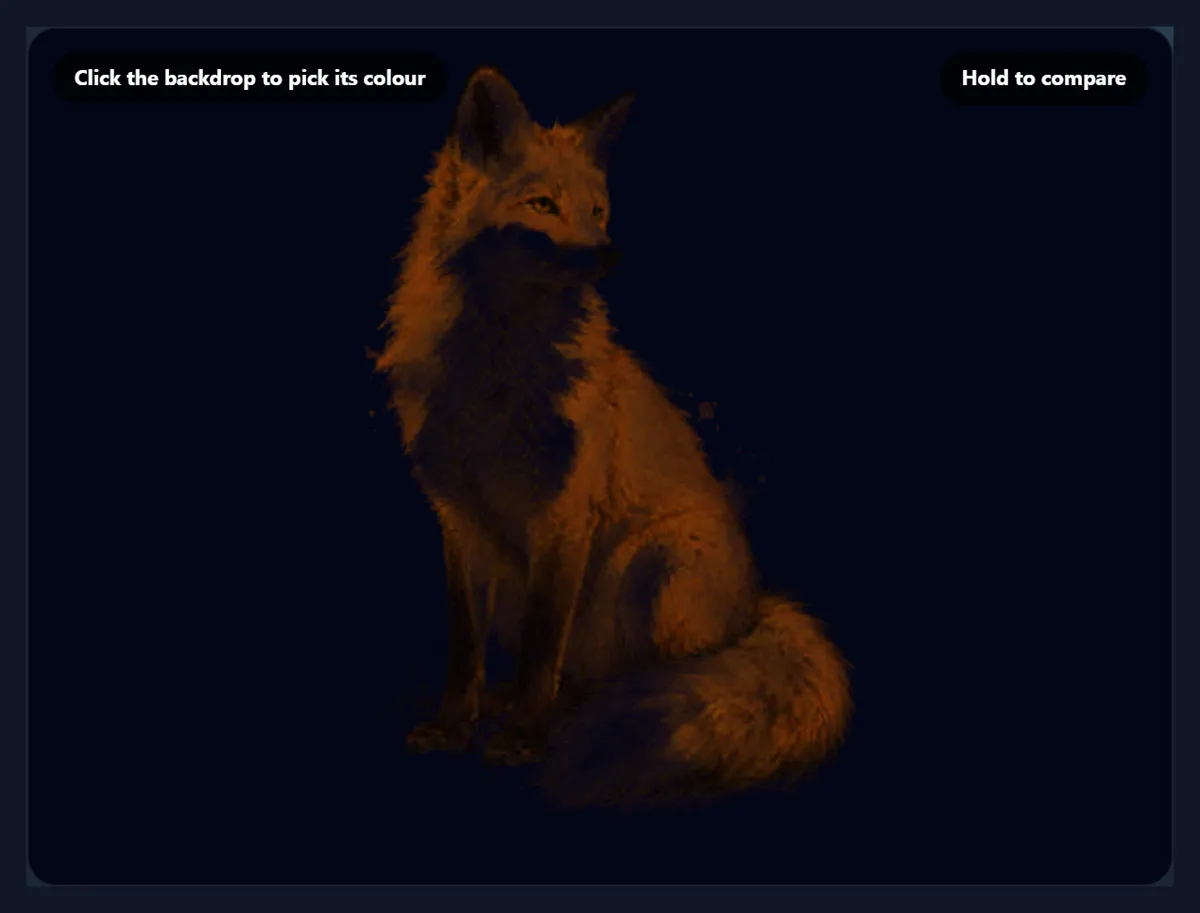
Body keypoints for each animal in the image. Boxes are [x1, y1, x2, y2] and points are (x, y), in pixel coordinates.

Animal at [376, 66, 852, 807]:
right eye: (543, 205)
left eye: (598, 211)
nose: (609, 252)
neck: (496, 368)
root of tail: (757, 605)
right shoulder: (459, 518)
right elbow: (465, 649)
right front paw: (456, 726)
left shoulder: (564, 513)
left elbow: (542, 646)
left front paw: (523, 738)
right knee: (577, 671)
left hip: (652, 564)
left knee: (642, 676)